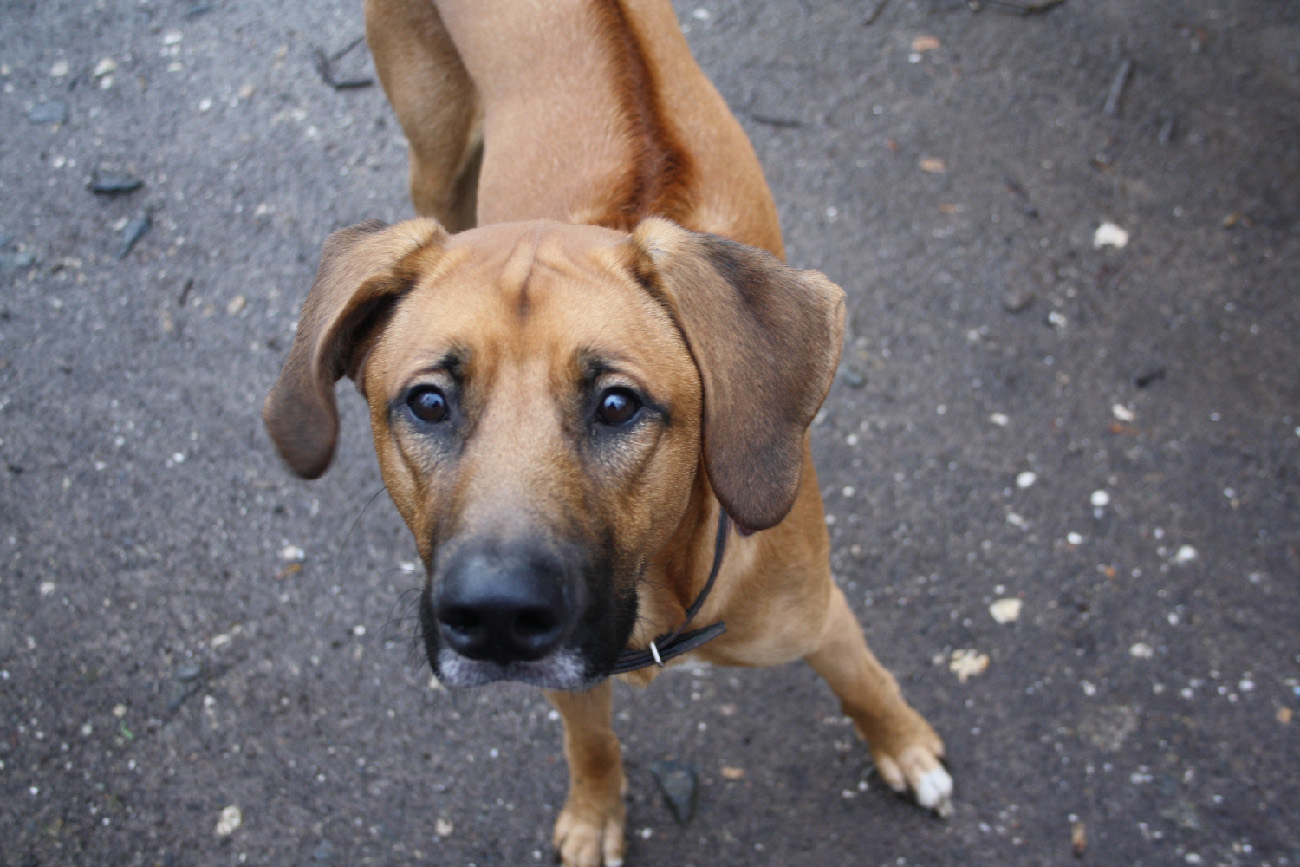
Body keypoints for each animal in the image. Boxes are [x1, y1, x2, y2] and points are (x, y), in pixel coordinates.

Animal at [266, 3, 956, 863]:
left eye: (619, 405)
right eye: (427, 403)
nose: (495, 616)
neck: (661, 601)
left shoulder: (818, 611)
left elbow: (863, 678)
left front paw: (904, 743)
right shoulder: (571, 673)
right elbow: (590, 741)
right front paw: (596, 812)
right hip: (433, 155)